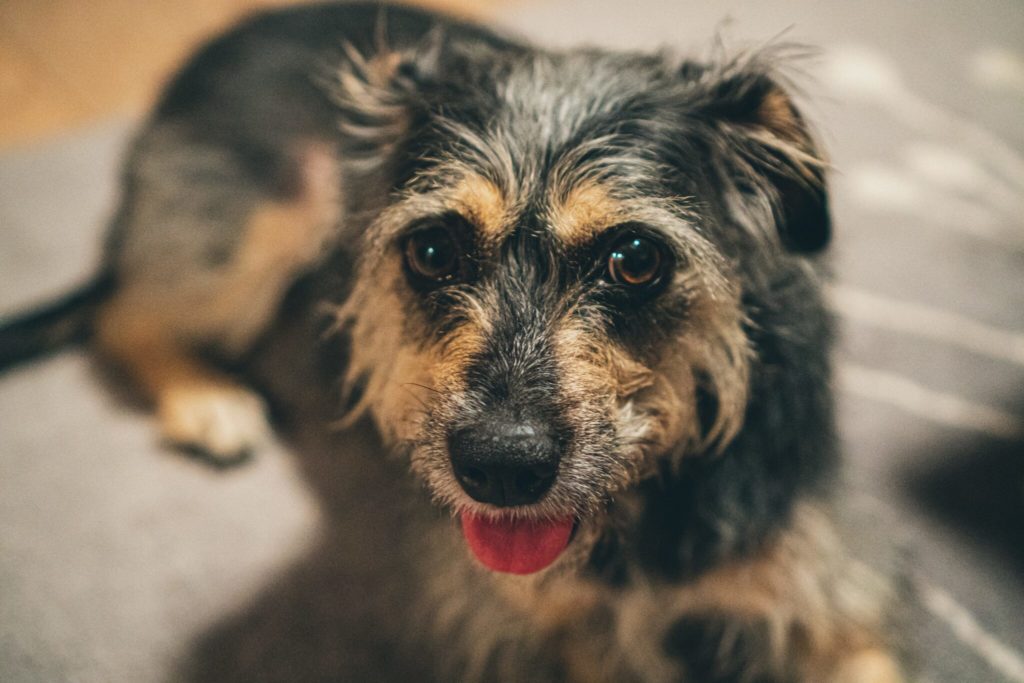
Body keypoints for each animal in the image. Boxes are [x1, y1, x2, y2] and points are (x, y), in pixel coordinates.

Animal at [4, 2, 909, 679]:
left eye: (636, 257)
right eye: (433, 249)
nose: (499, 466)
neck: (639, 511)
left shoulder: (828, 605)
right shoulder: (552, 635)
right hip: (254, 228)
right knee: (125, 315)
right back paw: (208, 400)